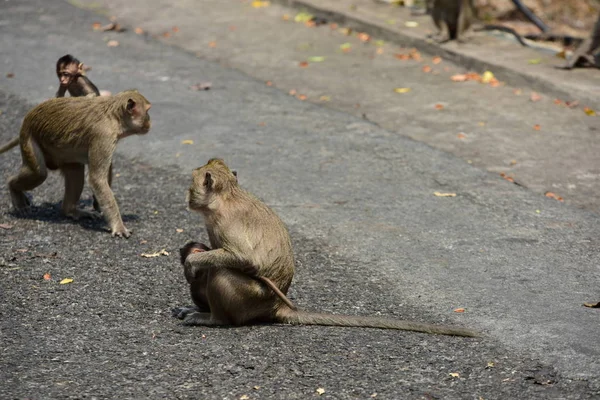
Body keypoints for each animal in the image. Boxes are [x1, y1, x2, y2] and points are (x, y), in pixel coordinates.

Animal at [0, 89, 152, 238]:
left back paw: (70, 210)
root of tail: (28, 118)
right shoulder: (104, 137)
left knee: (75, 172)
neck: (114, 117)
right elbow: (97, 179)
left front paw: (97, 202)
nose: (150, 121)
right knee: (38, 174)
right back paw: (13, 189)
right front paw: (118, 226)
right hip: (29, 138)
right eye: (147, 111)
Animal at [172, 158, 478, 336]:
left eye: (191, 186)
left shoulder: (224, 223)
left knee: (219, 273)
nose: (186, 197)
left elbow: (245, 259)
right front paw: (193, 255)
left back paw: (213, 319)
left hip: (250, 298)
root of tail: (275, 307)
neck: (225, 198)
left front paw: (192, 262)